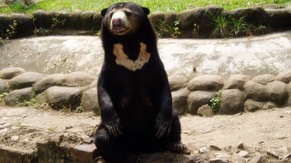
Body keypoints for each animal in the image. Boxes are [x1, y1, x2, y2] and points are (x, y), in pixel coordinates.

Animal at [94, 2, 188, 162]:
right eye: (111, 14)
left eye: (127, 13)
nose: (116, 22)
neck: (129, 43)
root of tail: (142, 147)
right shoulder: (110, 67)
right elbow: (103, 89)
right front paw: (113, 123)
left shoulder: (153, 64)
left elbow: (163, 87)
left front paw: (162, 125)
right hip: (112, 133)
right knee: (102, 138)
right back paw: (129, 157)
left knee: (174, 117)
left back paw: (176, 145)